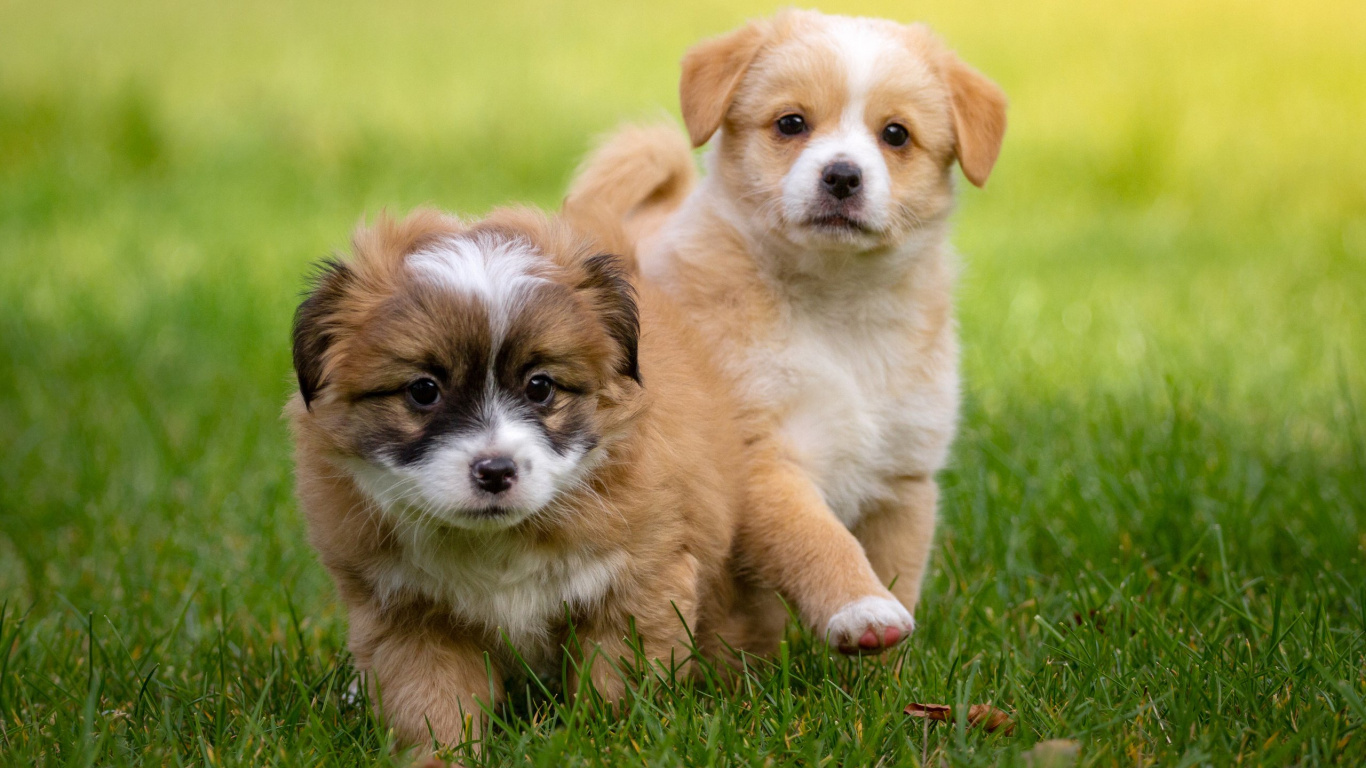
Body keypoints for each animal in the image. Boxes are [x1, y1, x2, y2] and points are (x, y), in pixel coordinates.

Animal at [285, 207, 781, 748]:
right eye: (423, 390)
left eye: (540, 386)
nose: (495, 471)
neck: (499, 542)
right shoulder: (409, 614)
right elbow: (431, 702)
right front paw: (442, 753)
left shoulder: (638, 585)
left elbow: (615, 683)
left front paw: (607, 739)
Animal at [565, 10, 1005, 639]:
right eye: (791, 123)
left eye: (896, 134)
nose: (843, 176)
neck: (837, 311)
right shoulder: (760, 459)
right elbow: (816, 538)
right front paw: (861, 608)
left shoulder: (902, 480)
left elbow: (899, 575)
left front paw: (892, 659)